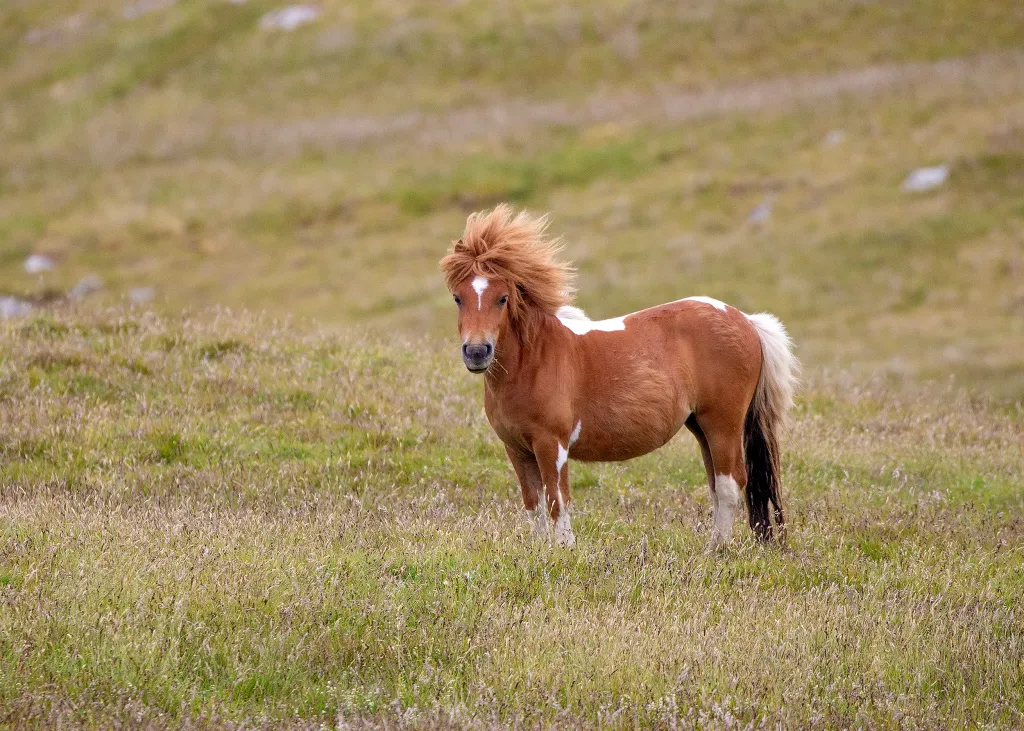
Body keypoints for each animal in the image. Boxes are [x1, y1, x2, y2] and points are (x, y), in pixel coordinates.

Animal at [440, 204, 798, 549]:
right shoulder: (516, 449)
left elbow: (557, 501)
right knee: (717, 484)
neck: (534, 360)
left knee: (730, 483)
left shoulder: (551, 445)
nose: (477, 352)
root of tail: (747, 321)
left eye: (502, 299)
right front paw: (539, 553)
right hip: (700, 425)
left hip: (723, 423)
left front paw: (565, 552)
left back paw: (716, 551)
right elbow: (534, 505)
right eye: (458, 298)